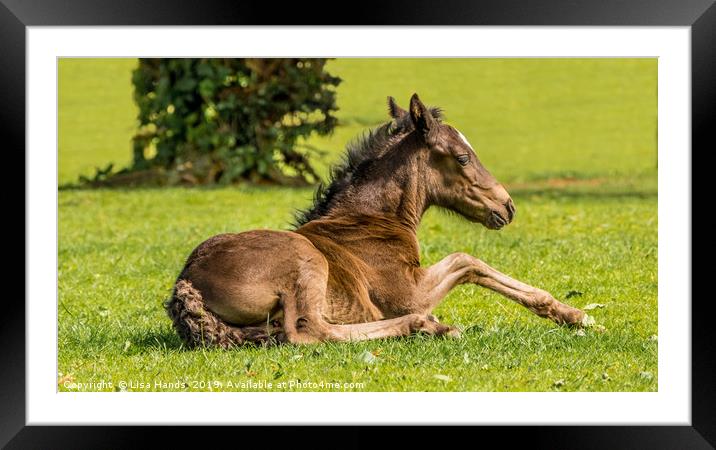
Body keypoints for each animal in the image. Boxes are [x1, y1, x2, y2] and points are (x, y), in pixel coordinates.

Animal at [168, 93, 588, 346]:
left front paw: (570, 314)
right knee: (308, 330)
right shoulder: (410, 293)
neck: (370, 220)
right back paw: (423, 326)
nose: (508, 206)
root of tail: (186, 284)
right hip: (306, 261)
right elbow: (468, 261)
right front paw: (576, 315)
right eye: (463, 157)